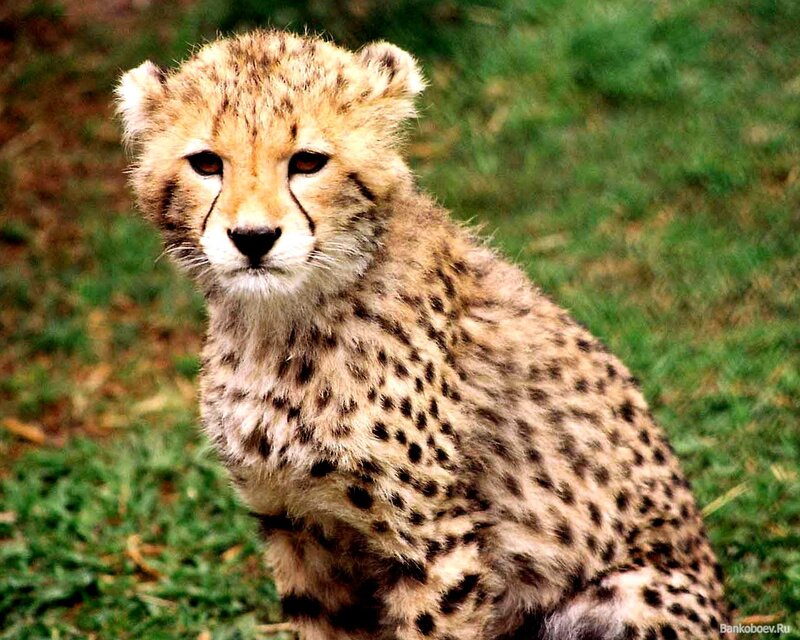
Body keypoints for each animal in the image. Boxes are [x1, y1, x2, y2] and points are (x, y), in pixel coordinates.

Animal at [116, 29, 729, 640]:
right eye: (206, 163)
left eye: (308, 162)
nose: (253, 238)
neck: (280, 324)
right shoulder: (295, 523)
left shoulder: (434, 541)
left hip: (628, 596)